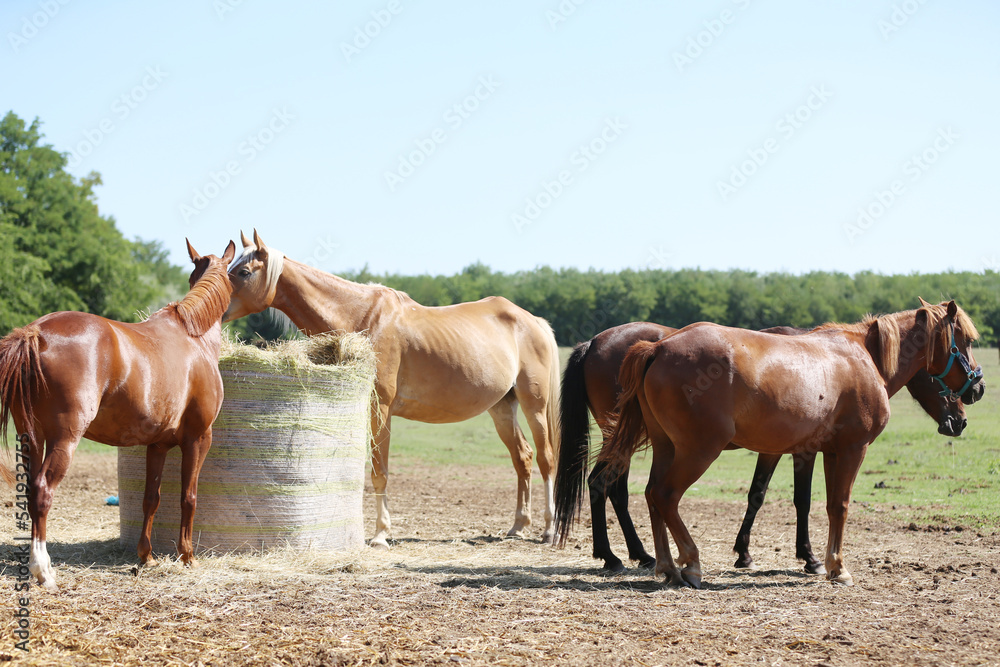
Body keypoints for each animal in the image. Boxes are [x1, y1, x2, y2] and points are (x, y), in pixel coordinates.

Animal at [0, 240, 236, 591]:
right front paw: (187, 556)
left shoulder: (158, 445)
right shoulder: (198, 438)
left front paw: (146, 556)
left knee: (29, 490)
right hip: (64, 439)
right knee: (42, 491)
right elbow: (188, 497)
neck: (194, 338)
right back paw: (43, 570)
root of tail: (34, 333)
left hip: (31, 437)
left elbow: (151, 497)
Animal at [223, 230, 561, 547]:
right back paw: (518, 526)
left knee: (545, 459)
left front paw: (380, 534)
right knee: (523, 457)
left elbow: (379, 472)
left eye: (244, 271)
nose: (215, 305)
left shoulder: (380, 409)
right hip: (502, 407)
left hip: (534, 405)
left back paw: (548, 529)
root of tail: (533, 321)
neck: (361, 315)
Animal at [598, 300, 984, 588]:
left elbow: (824, 505)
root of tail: (659, 346)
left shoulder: (823, 451)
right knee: (666, 496)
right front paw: (837, 567)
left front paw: (822, 562)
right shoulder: (852, 449)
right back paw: (689, 564)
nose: (977, 389)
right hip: (698, 451)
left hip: (666, 447)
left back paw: (666, 566)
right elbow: (840, 505)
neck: (863, 357)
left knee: (652, 495)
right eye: (963, 340)